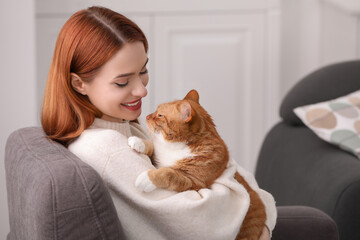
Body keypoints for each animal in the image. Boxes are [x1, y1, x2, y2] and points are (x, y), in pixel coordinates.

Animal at [128, 90, 266, 240]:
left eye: (160, 115)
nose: (147, 116)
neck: (176, 148)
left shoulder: (193, 181)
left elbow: (168, 173)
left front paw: (146, 178)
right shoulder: (158, 156)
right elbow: (152, 146)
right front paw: (138, 142)